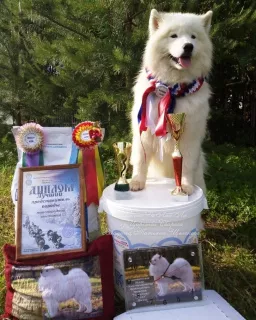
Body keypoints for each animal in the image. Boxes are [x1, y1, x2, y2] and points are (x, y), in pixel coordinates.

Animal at [129, 9, 213, 195]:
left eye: (193, 37)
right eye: (173, 36)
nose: (188, 46)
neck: (174, 87)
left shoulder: (190, 136)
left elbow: (187, 165)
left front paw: (186, 186)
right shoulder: (144, 132)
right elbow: (140, 159)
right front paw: (136, 182)